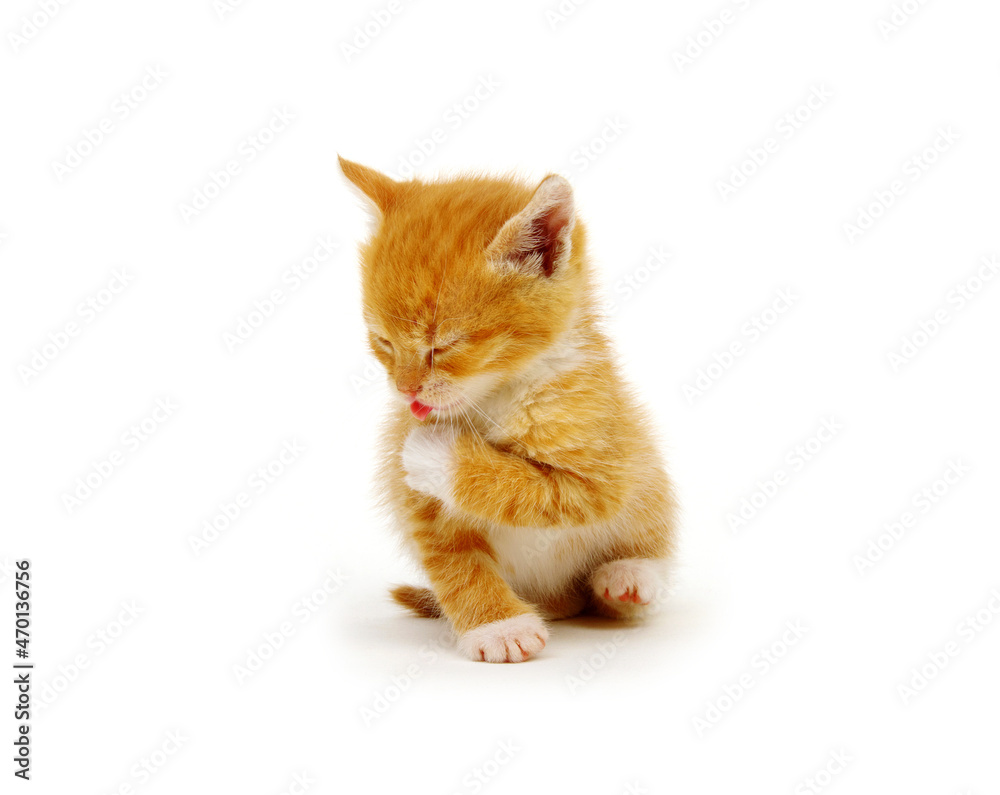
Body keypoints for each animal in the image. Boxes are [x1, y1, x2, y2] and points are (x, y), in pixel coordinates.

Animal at [340, 157, 676, 664]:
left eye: (443, 347)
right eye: (383, 342)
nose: (406, 392)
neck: (493, 395)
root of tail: (558, 600)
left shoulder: (601, 473)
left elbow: (532, 489)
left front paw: (437, 451)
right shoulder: (419, 506)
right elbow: (456, 561)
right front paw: (499, 627)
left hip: (646, 478)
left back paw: (629, 576)